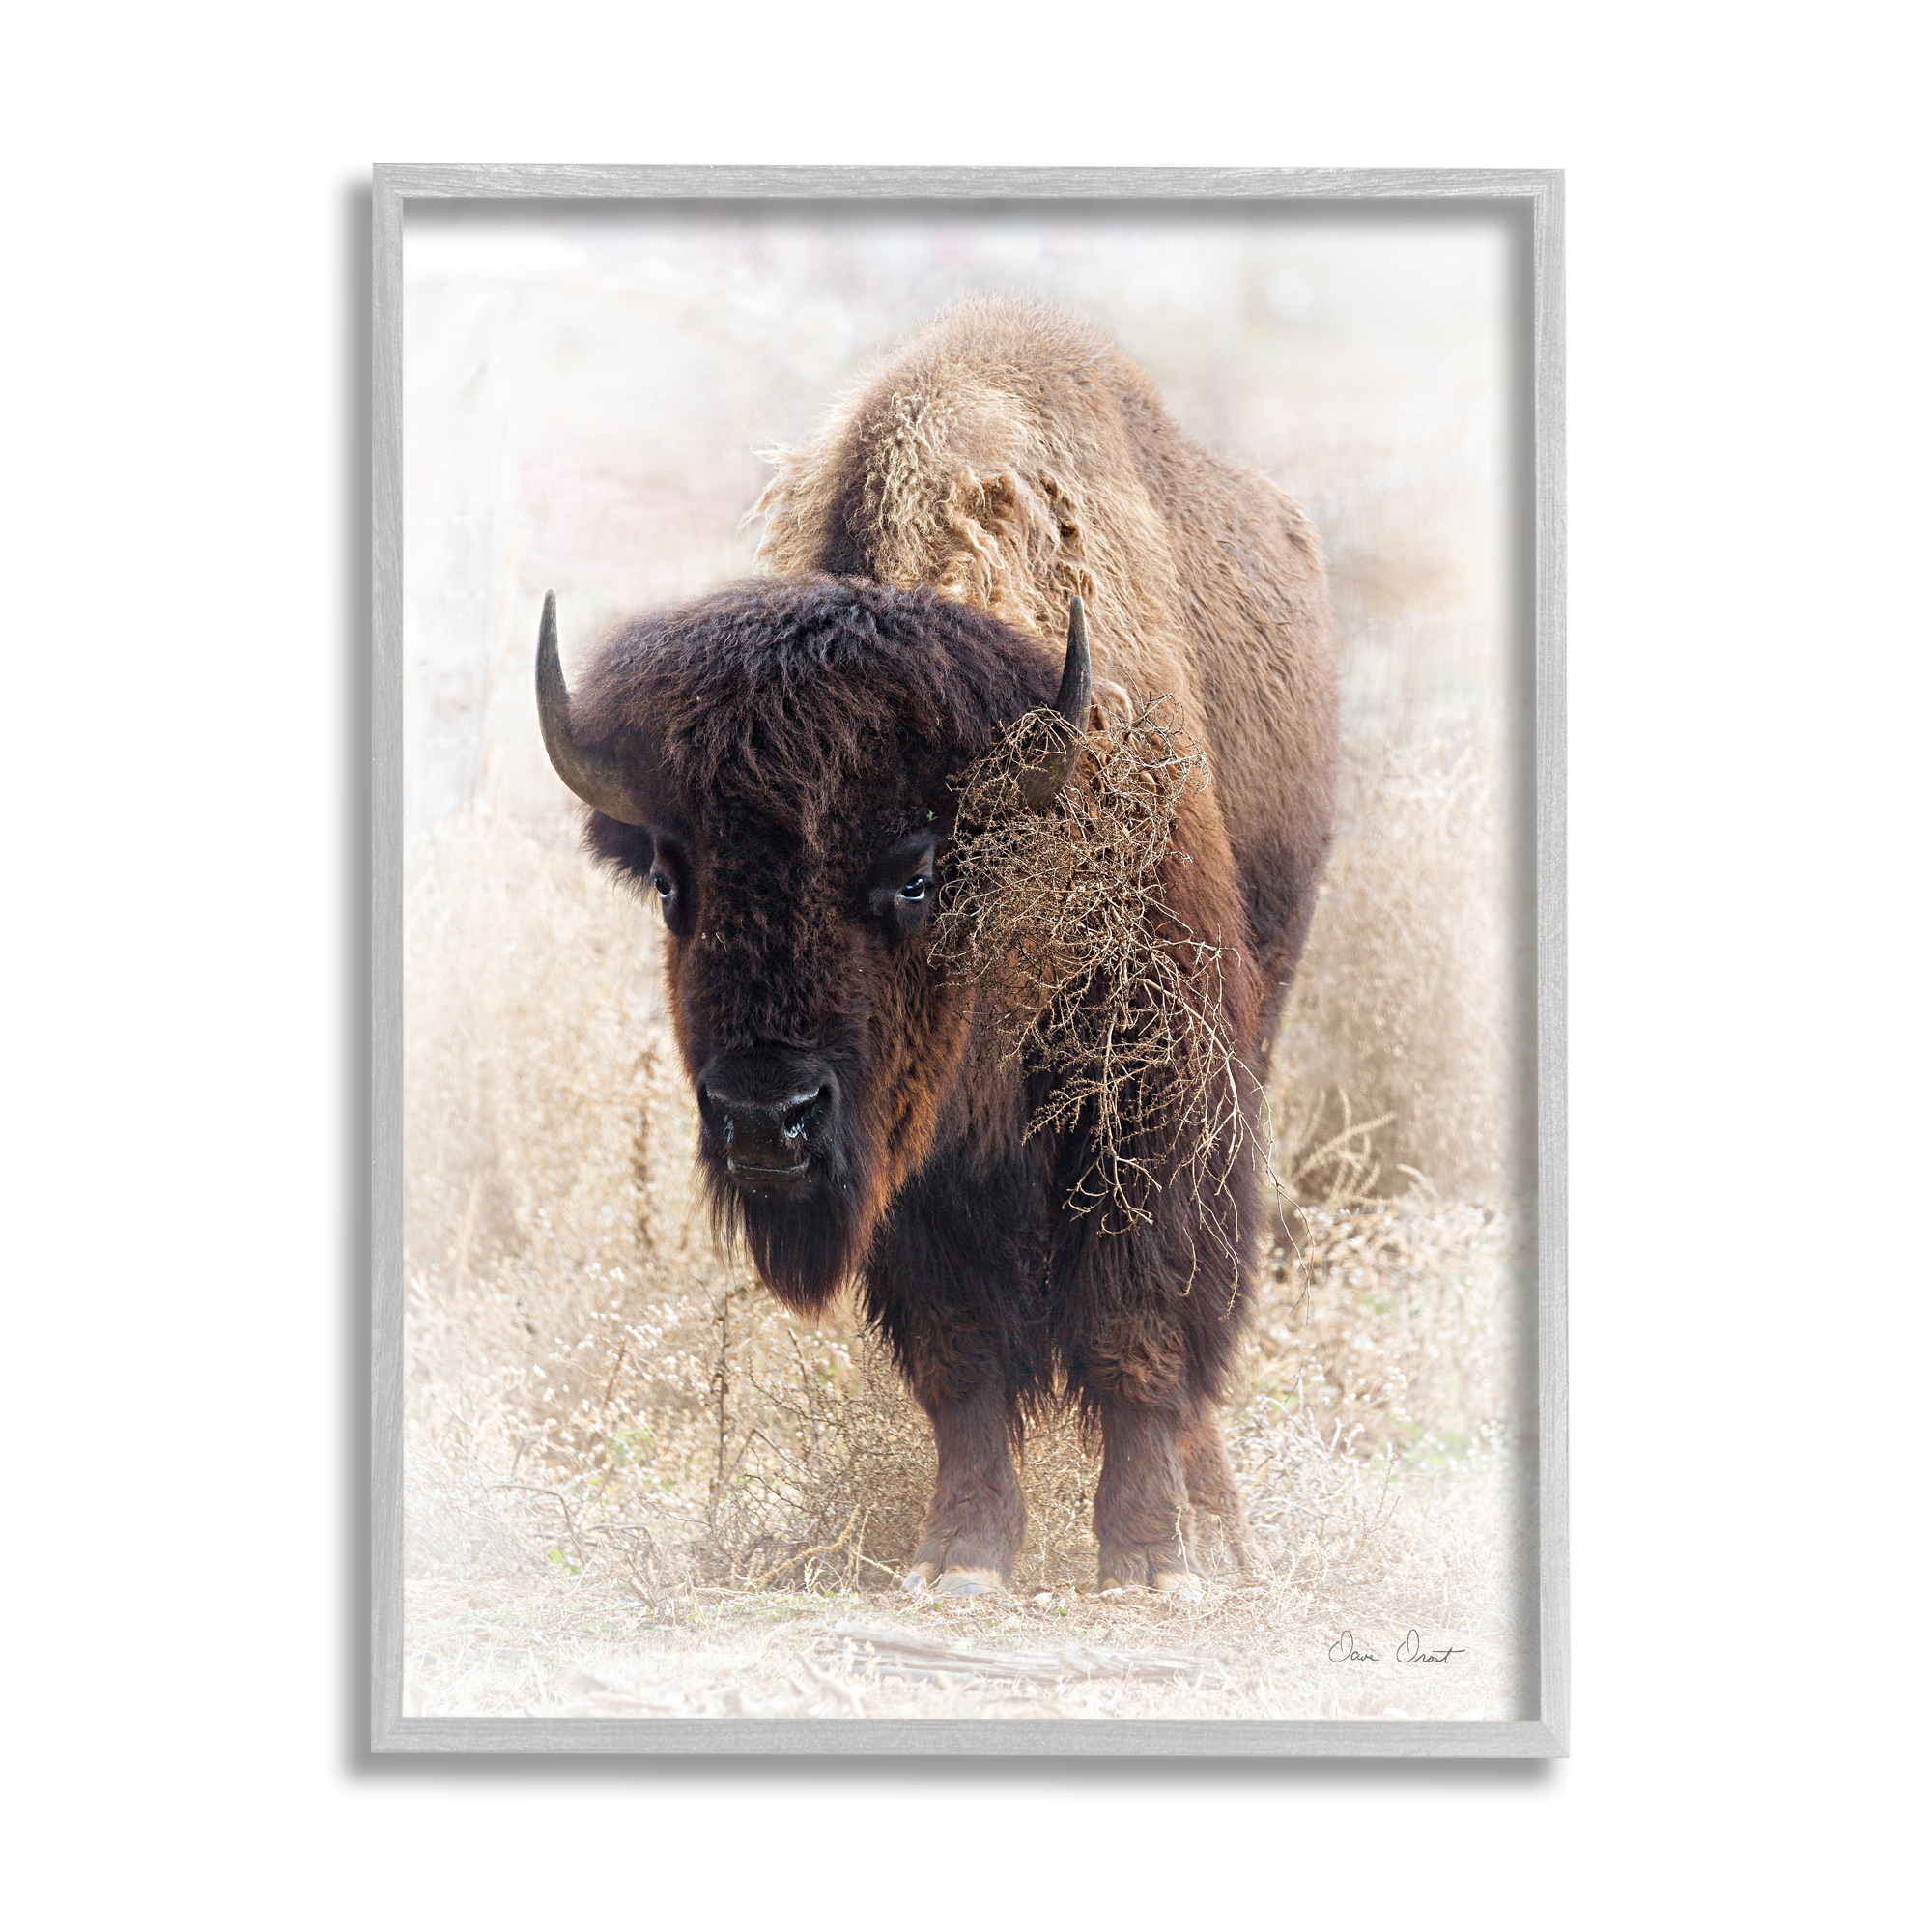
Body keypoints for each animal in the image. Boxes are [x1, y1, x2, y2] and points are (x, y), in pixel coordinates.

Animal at [536, 298, 1338, 1596]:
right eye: (669, 880)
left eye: (915, 872)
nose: (765, 1118)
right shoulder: (917, 1166)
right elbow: (960, 1351)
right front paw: (961, 1551)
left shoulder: (1151, 1100)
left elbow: (1137, 1323)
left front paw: (1145, 1557)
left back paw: (1218, 1530)